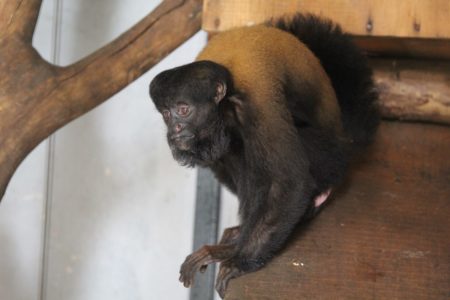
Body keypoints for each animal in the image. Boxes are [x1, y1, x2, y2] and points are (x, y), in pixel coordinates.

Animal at [149, 13, 378, 298]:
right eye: (166, 114)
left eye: (183, 110)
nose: (175, 130)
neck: (225, 98)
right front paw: (235, 244)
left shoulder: (257, 103)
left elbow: (288, 182)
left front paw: (237, 258)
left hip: (330, 155)